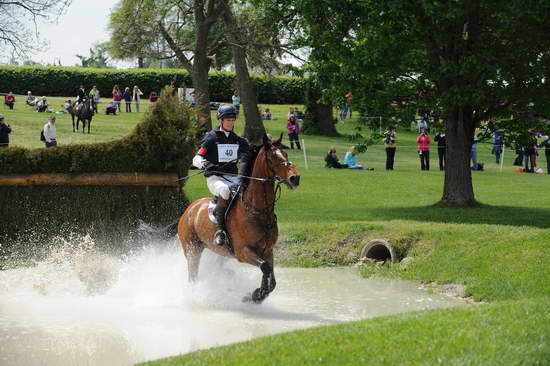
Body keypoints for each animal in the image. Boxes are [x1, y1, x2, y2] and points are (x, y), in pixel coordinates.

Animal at [179, 134, 302, 304]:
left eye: (286, 155)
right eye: (273, 157)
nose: (295, 178)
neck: (258, 210)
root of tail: (190, 209)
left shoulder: (267, 250)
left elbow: (270, 277)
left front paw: (256, 295)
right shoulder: (243, 251)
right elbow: (265, 268)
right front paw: (256, 295)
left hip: (218, 252)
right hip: (192, 250)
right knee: (192, 275)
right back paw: (196, 294)